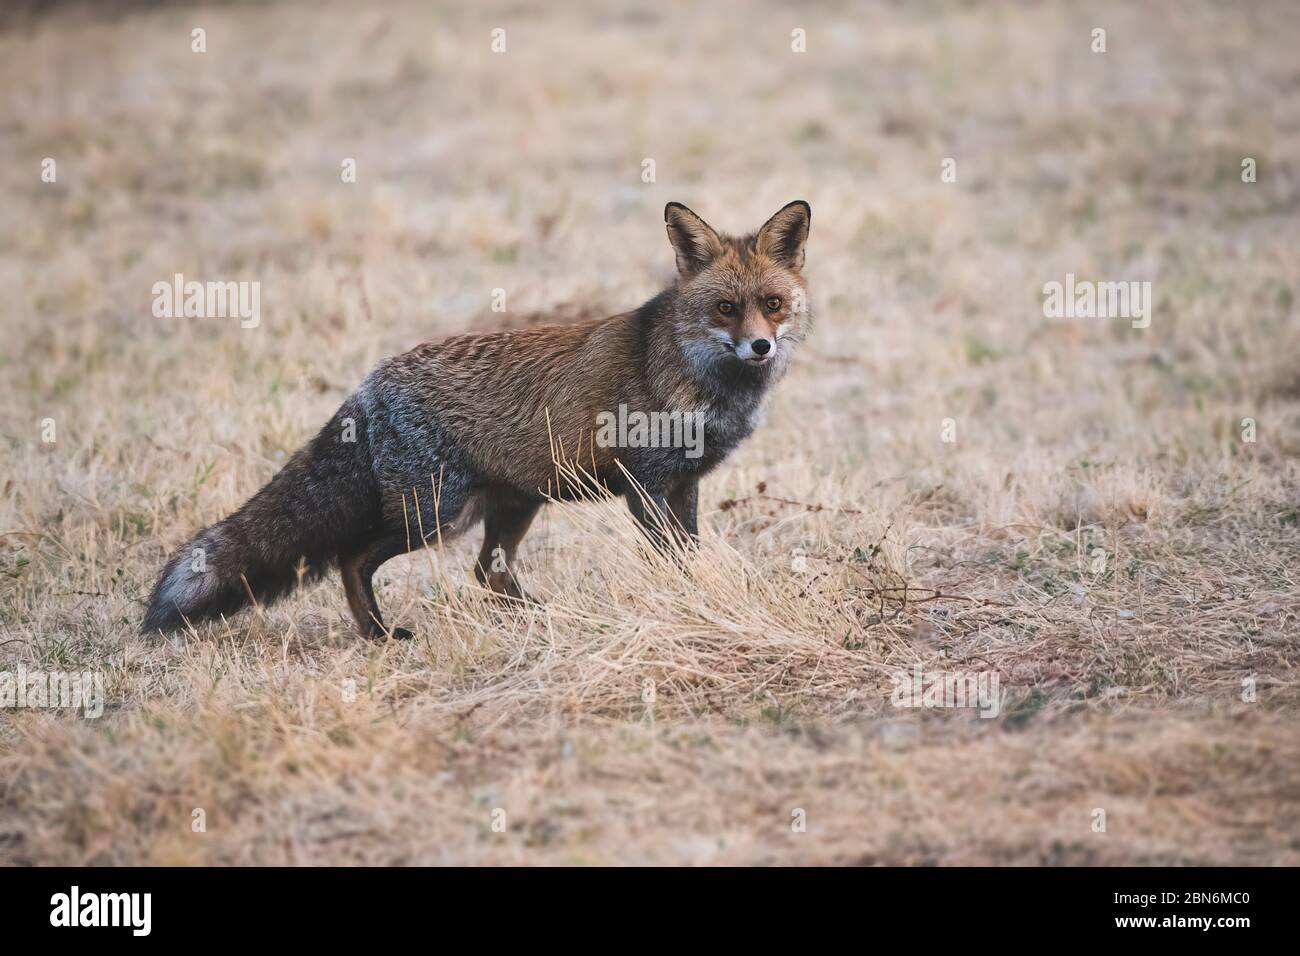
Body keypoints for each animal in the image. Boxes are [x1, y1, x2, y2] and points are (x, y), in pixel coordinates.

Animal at [144, 201, 811, 639]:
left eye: (772, 303)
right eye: (725, 307)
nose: (760, 347)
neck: (698, 380)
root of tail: (367, 385)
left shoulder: (685, 481)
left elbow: (688, 553)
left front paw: (698, 598)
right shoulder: (644, 484)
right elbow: (668, 558)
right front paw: (681, 603)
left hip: (511, 507)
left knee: (486, 574)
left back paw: (545, 620)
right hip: (438, 513)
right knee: (352, 560)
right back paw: (379, 635)